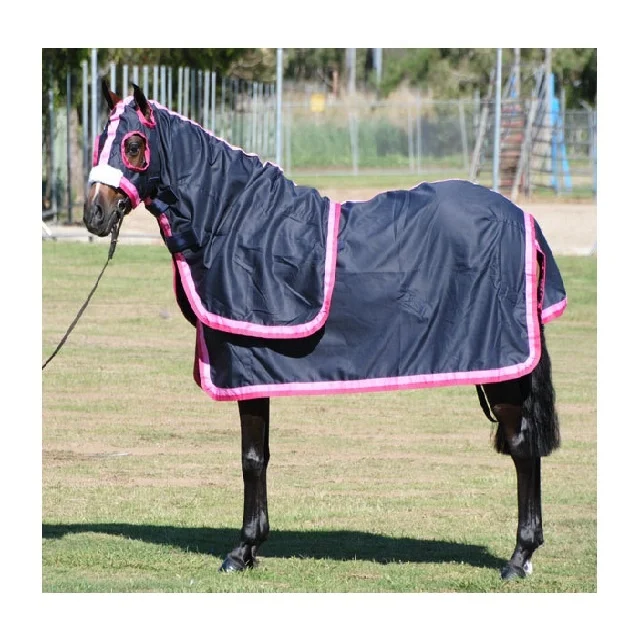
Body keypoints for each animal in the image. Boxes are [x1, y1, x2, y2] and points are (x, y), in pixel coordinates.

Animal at [83, 81, 567, 581]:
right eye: (100, 141)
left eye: (133, 145)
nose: (95, 214)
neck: (232, 218)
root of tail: (523, 220)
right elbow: (262, 455)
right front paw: (254, 544)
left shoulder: (245, 365)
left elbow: (251, 458)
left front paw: (241, 550)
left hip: (505, 370)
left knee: (523, 448)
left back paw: (519, 558)